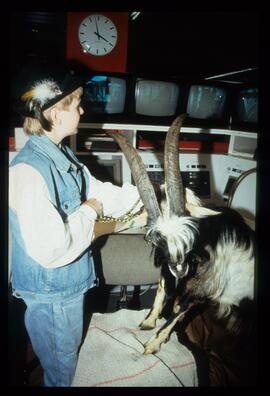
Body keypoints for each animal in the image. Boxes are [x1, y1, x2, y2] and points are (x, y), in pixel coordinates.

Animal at [106, 115, 255, 356]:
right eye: (156, 237)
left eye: (190, 228)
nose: (180, 267)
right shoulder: (167, 267)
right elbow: (161, 291)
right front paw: (148, 322)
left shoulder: (201, 290)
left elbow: (178, 312)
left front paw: (152, 344)